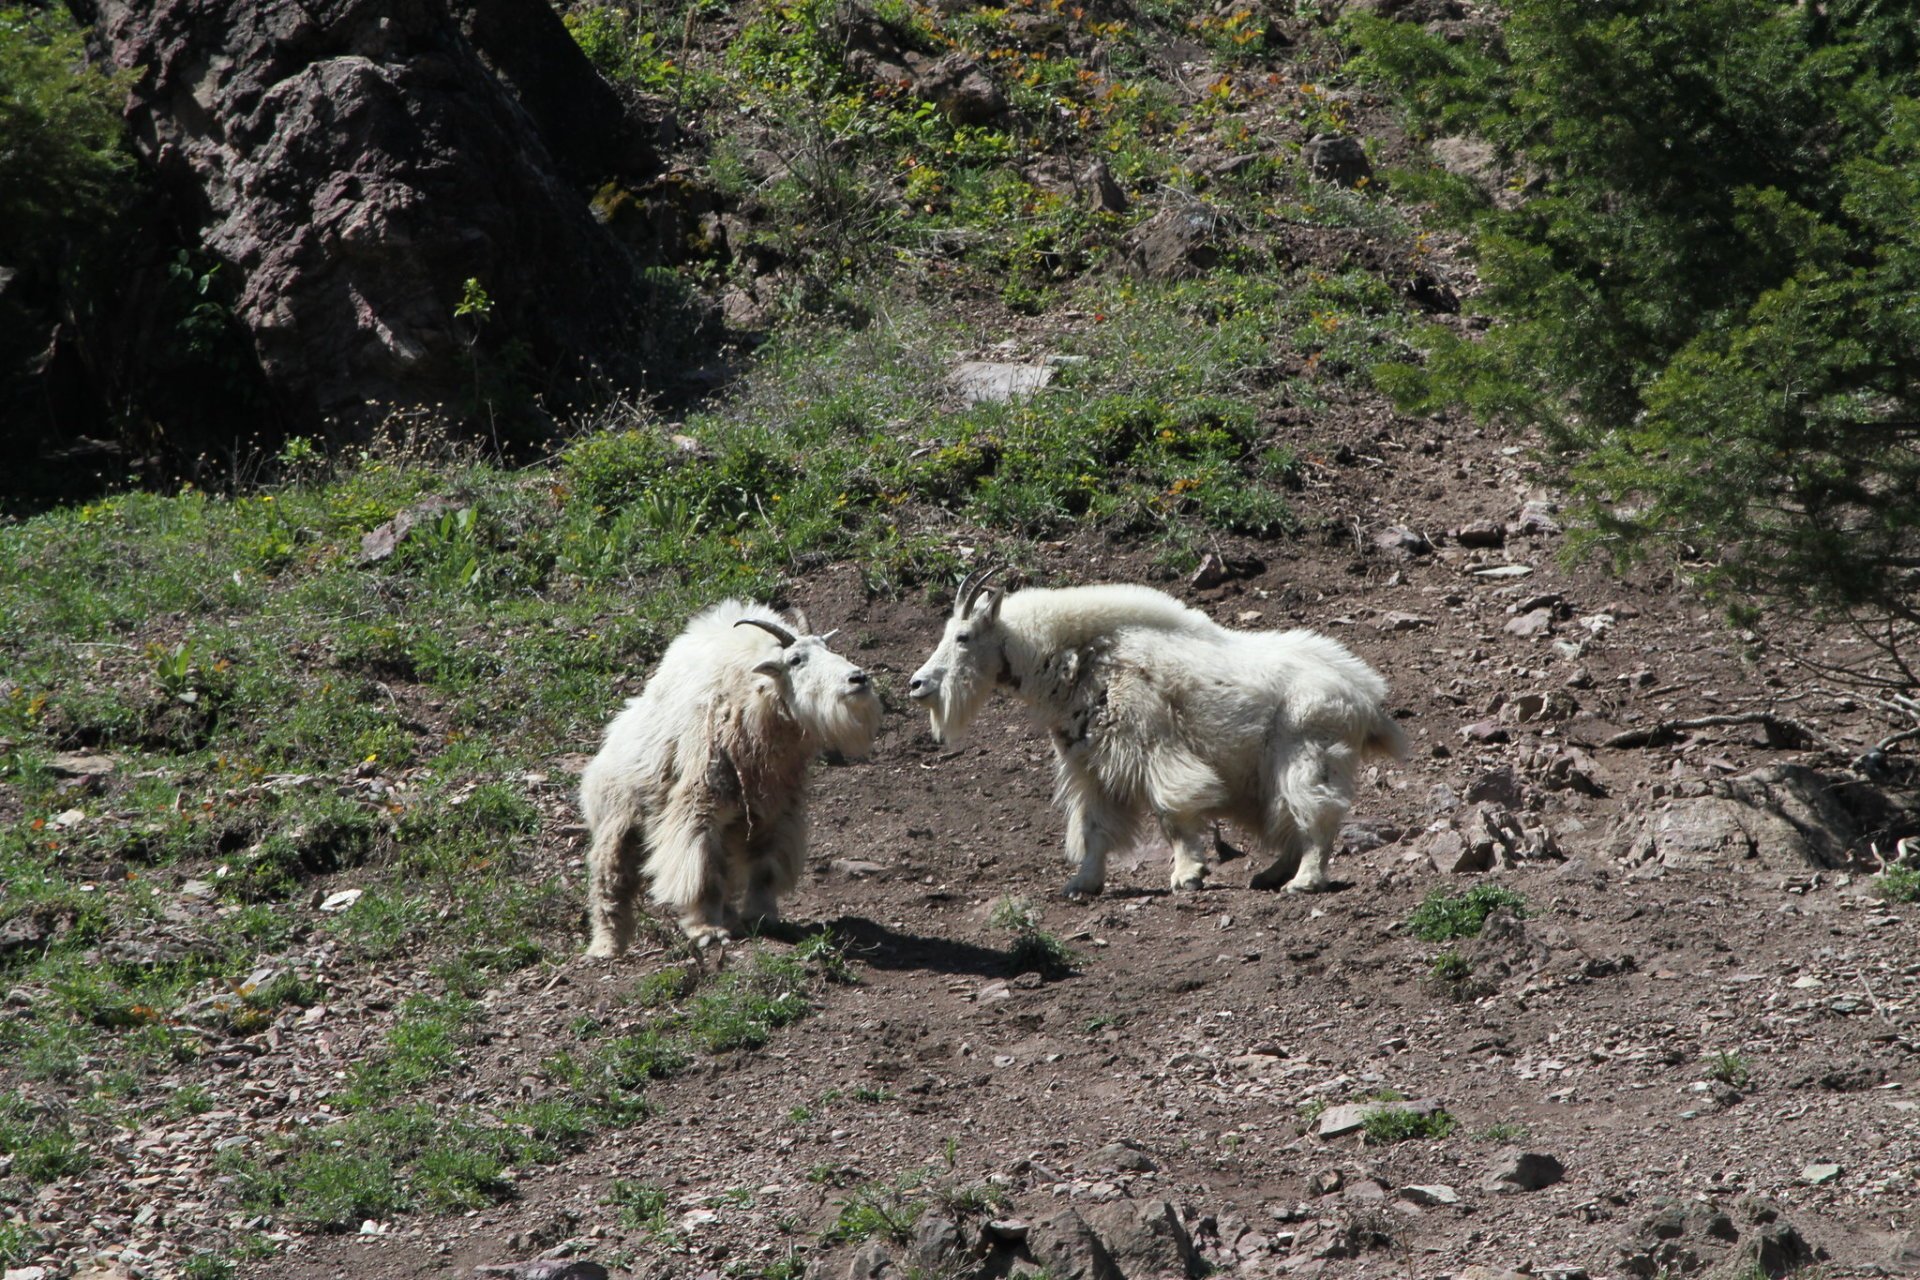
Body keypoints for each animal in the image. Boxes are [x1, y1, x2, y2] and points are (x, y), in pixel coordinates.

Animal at [579, 598, 879, 951]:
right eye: (795, 660)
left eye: (826, 647)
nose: (858, 679)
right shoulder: (699, 807)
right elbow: (702, 872)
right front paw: (707, 931)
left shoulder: (773, 810)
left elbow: (764, 869)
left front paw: (762, 918)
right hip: (618, 820)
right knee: (610, 879)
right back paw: (607, 946)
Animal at [906, 571, 1405, 901]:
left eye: (963, 637)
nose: (917, 684)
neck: (1080, 660)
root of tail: (1366, 697)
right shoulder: (1092, 766)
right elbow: (1094, 829)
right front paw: (1082, 884)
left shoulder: (1152, 747)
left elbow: (1173, 812)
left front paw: (1188, 874)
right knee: (1288, 819)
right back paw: (1270, 875)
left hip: (1308, 753)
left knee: (1315, 815)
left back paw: (1304, 880)